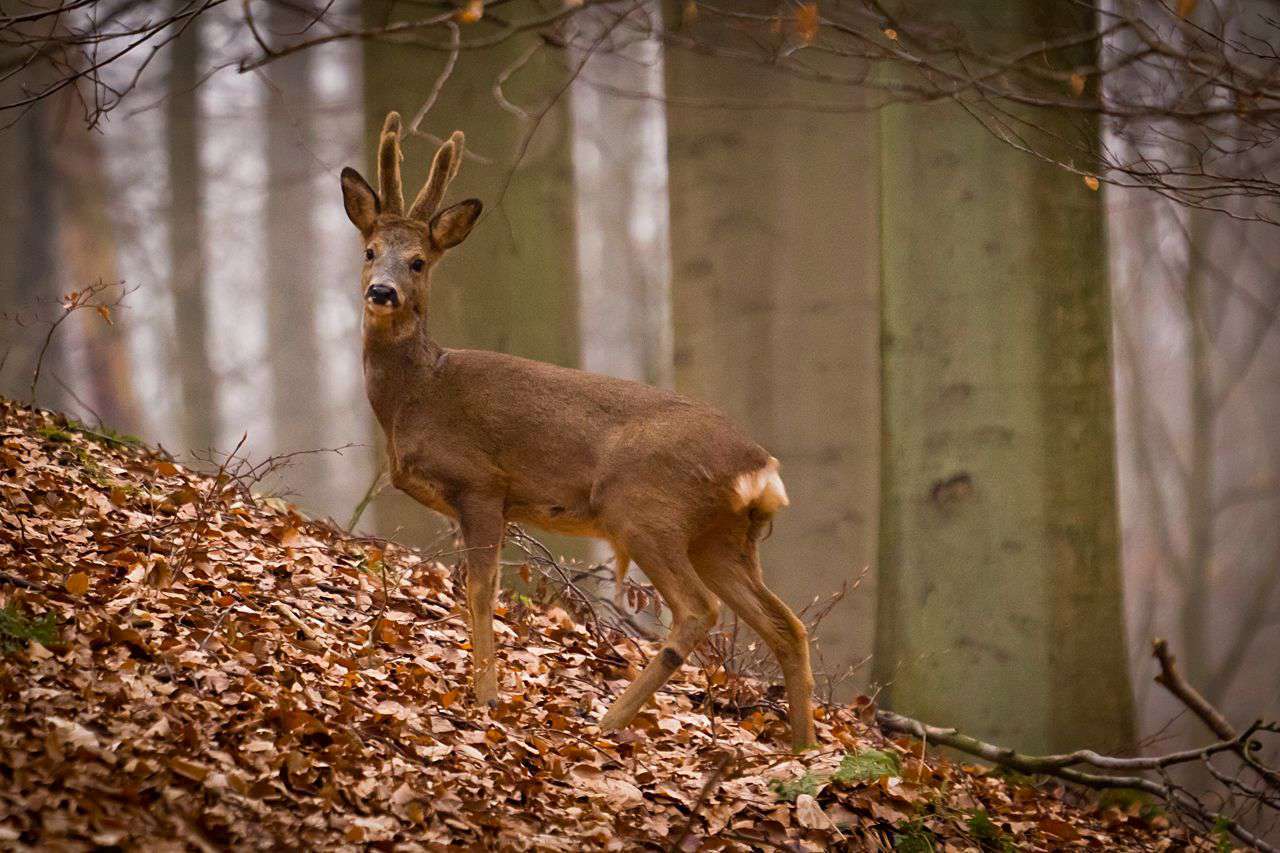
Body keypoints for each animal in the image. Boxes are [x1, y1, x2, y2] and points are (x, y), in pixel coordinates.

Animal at [340, 112, 814, 742]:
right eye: (370, 251)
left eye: (418, 260)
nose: (382, 291)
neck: (417, 396)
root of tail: (760, 468)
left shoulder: (482, 485)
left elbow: (481, 592)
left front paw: (487, 697)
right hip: (722, 538)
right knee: (786, 625)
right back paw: (803, 750)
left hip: (645, 511)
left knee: (698, 612)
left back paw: (608, 721)